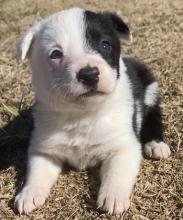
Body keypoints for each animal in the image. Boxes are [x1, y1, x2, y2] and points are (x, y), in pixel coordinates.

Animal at [13, 7, 170, 214]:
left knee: (154, 116)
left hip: (151, 90)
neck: (82, 114)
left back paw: (156, 144)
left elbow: (117, 173)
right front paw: (28, 193)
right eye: (55, 54)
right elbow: (37, 172)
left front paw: (113, 197)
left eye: (105, 44)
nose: (89, 74)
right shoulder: (44, 150)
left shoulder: (124, 147)